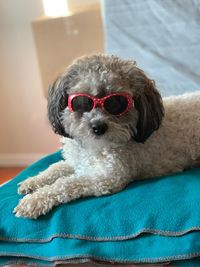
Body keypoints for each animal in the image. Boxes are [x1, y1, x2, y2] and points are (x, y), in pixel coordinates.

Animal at [13, 55, 200, 220]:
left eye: (117, 103)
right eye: (82, 102)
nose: (98, 127)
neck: (94, 148)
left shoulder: (108, 177)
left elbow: (66, 183)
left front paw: (34, 201)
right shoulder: (77, 162)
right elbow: (56, 167)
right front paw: (33, 181)